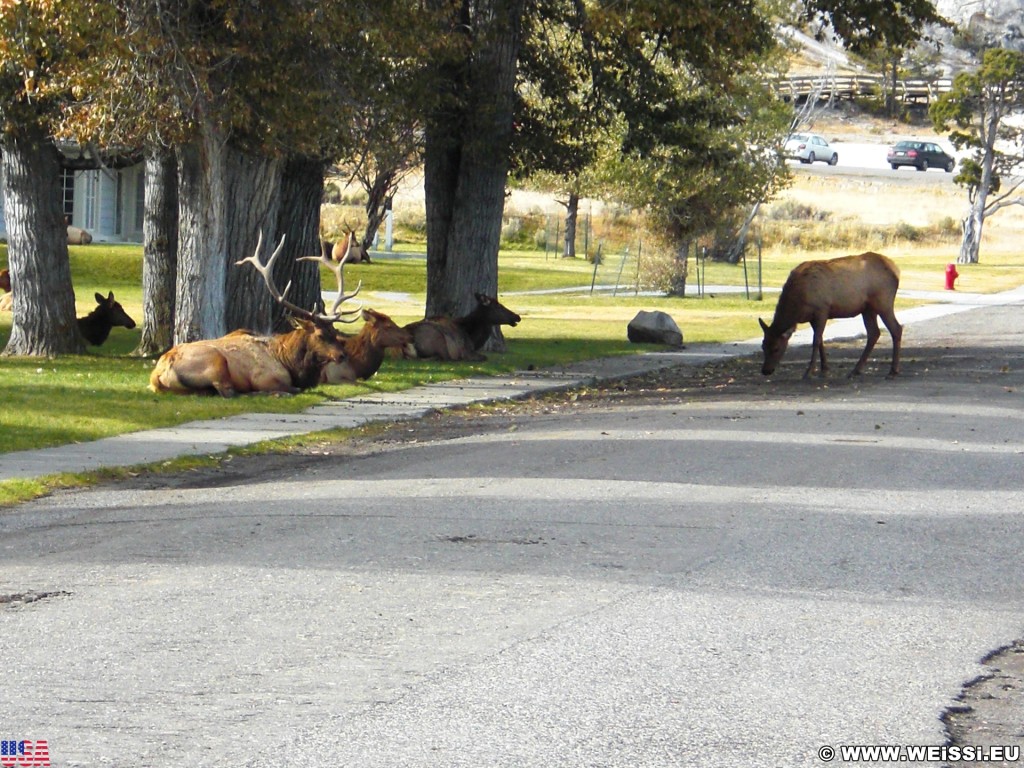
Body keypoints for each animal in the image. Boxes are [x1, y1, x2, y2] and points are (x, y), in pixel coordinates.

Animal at [757, 250, 901, 380]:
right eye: (763, 346)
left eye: (776, 348)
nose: (766, 370)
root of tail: (896, 270)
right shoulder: (812, 318)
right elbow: (820, 340)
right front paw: (824, 370)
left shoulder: (822, 309)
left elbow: (816, 340)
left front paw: (809, 372)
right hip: (868, 309)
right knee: (874, 333)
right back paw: (855, 371)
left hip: (883, 302)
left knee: (896, 328)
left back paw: (893, 371)